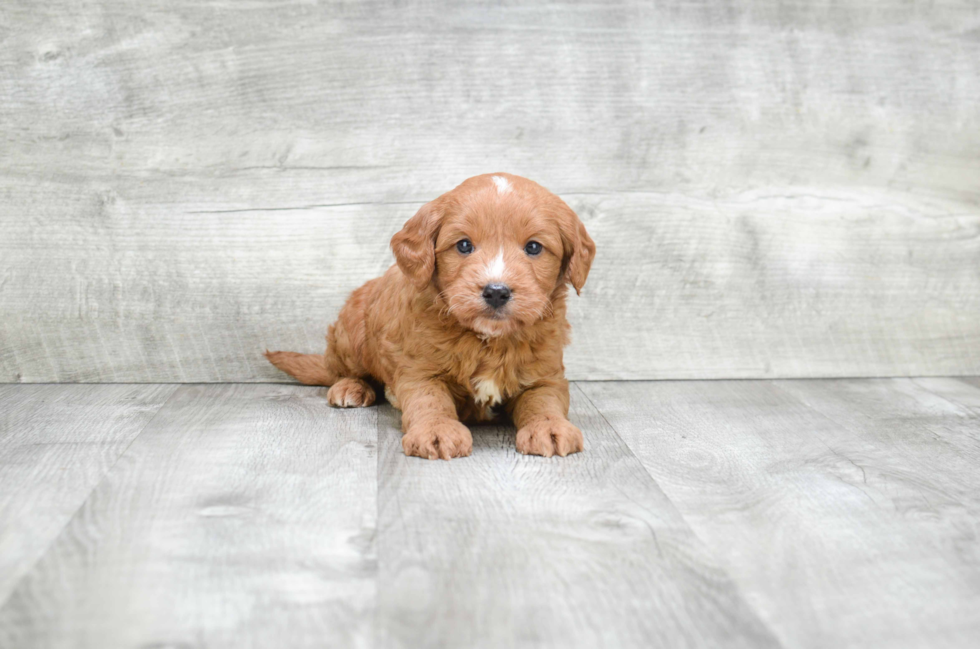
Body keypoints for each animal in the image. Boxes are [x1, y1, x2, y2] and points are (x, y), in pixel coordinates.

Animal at [264, 170, 592, 458]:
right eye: (464, 245)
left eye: (534, 247)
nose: (496, 291)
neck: (487, 339)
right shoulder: (419, 369)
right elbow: (430, 401)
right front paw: (436, 431)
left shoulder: (545, 374)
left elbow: (544, 401)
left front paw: (550, 428)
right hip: (352, 331)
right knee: (342, 370)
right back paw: (350, 387)